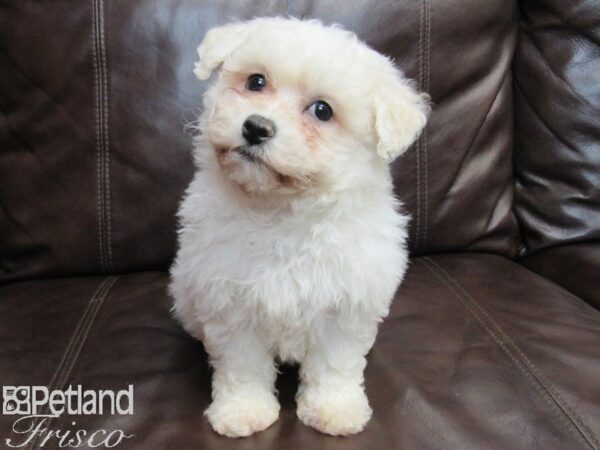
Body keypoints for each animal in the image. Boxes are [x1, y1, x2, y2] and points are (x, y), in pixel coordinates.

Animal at [170, 16, 426, 436]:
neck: (282, 211)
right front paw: (242, 410)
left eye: (322, 110)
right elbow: (241, 364)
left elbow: (335, 363)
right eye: (256, 81)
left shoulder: (346, 304)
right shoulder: (229, 302)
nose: (256, 127)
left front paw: (334, 409)